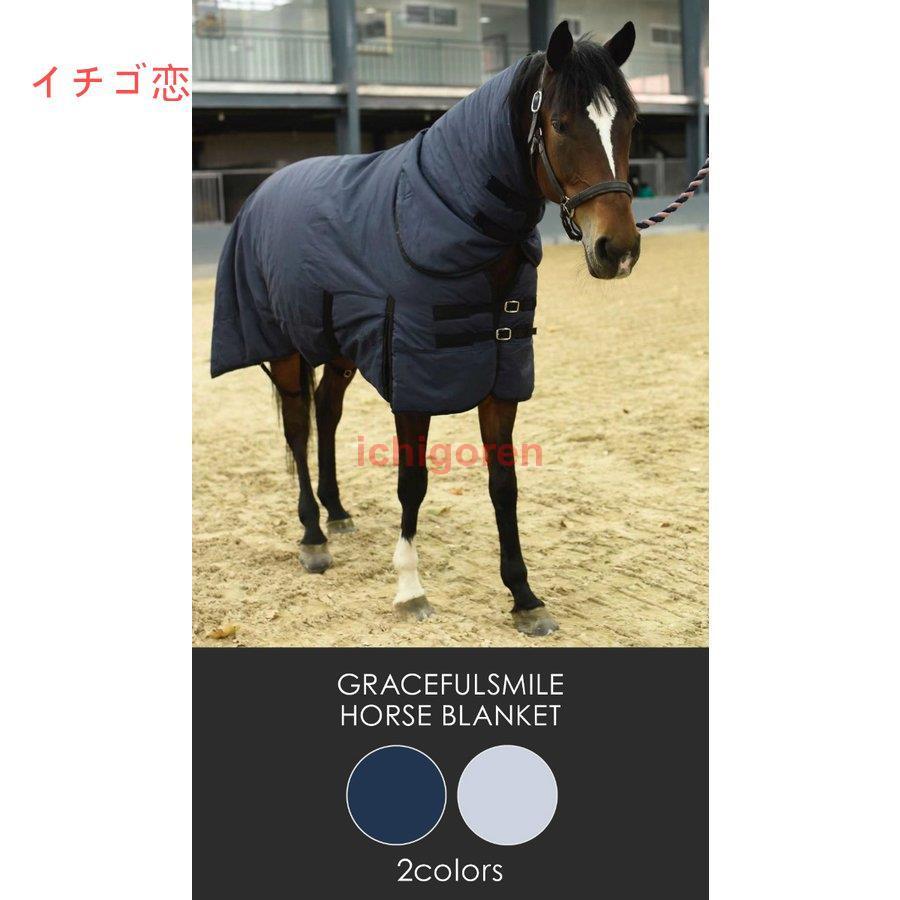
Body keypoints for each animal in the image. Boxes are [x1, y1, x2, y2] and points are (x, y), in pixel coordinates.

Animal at [210, 20, 641, 637]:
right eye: (560, 124)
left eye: (629, 123)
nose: (618, 249)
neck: (447, 217)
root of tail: (263, 191)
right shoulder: (413, 380)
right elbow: (412, 482)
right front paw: (410, 588)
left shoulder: (499, 377)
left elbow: (504, 485)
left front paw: (524, 597)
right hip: (288, 349)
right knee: (297, 427)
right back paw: (313, 535)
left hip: (340, 351)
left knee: (327, 413)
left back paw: (336, 512)